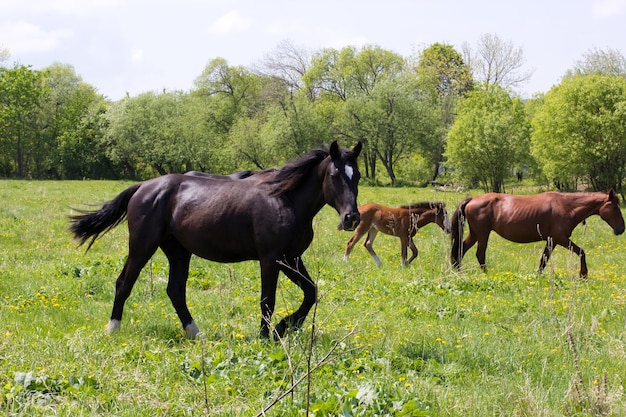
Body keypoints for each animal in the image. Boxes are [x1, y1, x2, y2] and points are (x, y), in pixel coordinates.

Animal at [68, 141, 360, 338]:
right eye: (334, 175)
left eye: (356, 175)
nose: (352, 218)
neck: (285, 199)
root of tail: (144, 186)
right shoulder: (271, 259)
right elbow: (268, 300)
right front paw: (267, 335)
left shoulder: (292, 258)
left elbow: (311, 292)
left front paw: (284, 326)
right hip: (142, 247)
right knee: (124, 283)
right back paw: (113, 328)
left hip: (178, 251)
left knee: (175, 290)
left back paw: (195, 333)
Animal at [450, 191, 620, 276]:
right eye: (615, 207)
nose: (621, 229)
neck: (567, 206)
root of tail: (473, 199)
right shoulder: (560, 238)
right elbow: (581, 252)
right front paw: (583, 274)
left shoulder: (552, 240)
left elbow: (543, 259)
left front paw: (537, 275)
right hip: (482, 234)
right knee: (479, 253)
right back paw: (486, 274)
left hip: (475, 234)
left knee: (461, 249)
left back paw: (458, 270)